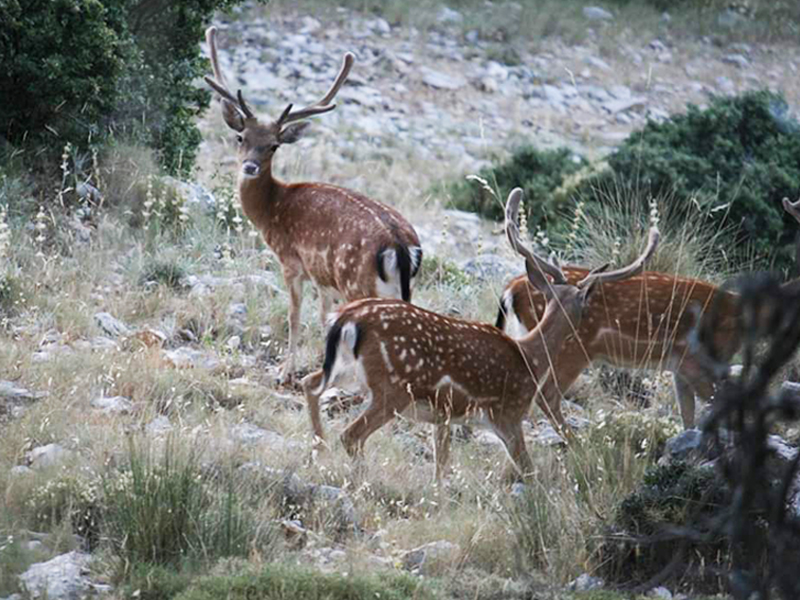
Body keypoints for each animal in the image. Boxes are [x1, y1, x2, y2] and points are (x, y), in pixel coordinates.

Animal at [203, 27, 422, 380]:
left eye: (274, 145)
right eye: (241, 137)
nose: (249, 167)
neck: (272, 209)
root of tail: (401, 245)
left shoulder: (291, 261)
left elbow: (294, 316)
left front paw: (285, 371)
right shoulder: (323, 278)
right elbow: (323, 319)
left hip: (356, 281)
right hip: (403, 287)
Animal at [304, 190, 660, 480]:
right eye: (586, 303)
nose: (588, 317)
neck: (531, 360)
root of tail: (347, 318)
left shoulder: (443, 416)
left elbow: (441, 469)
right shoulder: (508, 413)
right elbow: (527, 470)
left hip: (347, 370)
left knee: (310, 384)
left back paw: (319, 450)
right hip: (393, 386)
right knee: (351, 434)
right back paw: (359, 477)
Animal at [494, 199, 800, 434]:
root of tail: (510, 290)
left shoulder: (678, 368)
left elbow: (688, 418)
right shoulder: (696, 359)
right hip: (571, 349)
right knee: (547, 395)